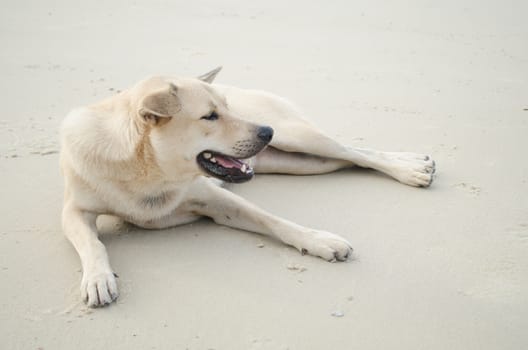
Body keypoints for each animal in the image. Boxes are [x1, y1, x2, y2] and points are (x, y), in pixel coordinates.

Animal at [59, 67, 436, 306]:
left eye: (226, 108)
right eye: (210, 116)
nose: (266, 131)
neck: (151, 171)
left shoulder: (217, 199)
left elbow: (276, 221)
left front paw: (319, 240)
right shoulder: (74, 211)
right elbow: (92, 243)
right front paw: (98, 278)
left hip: (299, 137)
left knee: (355, 152)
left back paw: (411, 169)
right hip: (302, 163)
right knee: (351, 160)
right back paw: (414, 164)